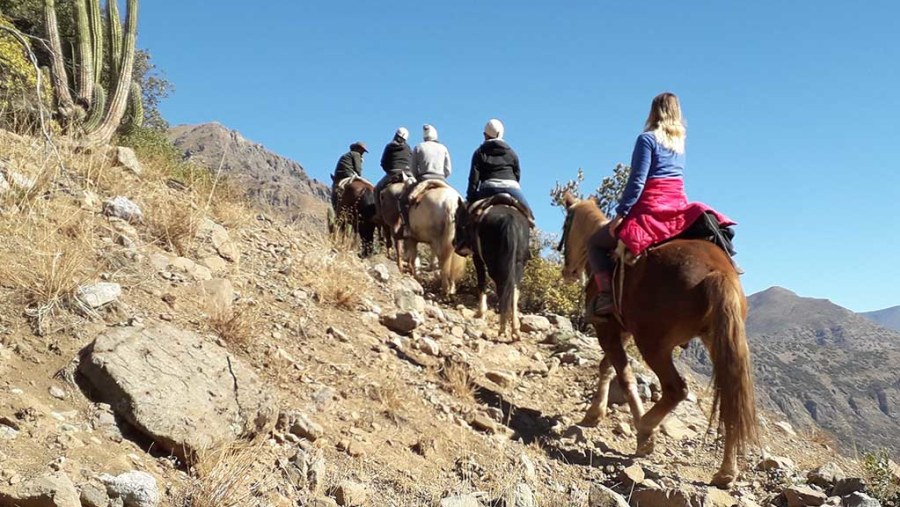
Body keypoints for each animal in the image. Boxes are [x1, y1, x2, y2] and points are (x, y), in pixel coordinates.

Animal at [560, 192, 756, 490]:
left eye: (565, 226)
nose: (568, 271)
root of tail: (717, 272)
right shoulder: (622, 330)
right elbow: (607, 367)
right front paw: (594, 413)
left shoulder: (607, 328)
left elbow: (624, 376)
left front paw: (641, 436)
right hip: (716, 343)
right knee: (730, 400)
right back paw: (726, 472)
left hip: (654, 345)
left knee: (676, 389)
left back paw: (645, 428)